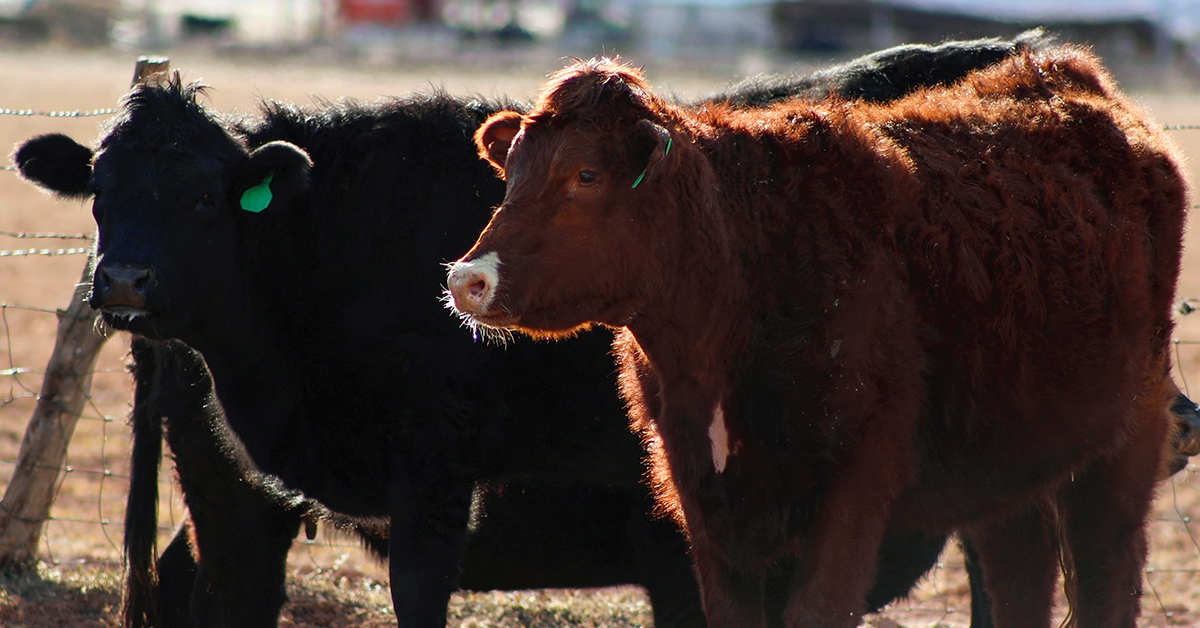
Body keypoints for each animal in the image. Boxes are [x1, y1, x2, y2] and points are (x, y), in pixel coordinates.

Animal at [448, 45, 1190, 628]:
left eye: (586, 175)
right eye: (511, 174)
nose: (466, 279)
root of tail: (1067, 76)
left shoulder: (855, 486)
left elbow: (820, 610)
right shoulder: (704, 500)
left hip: (1127, 439)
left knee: (1105, 574)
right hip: (1010, 462)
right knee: (1019, 580)